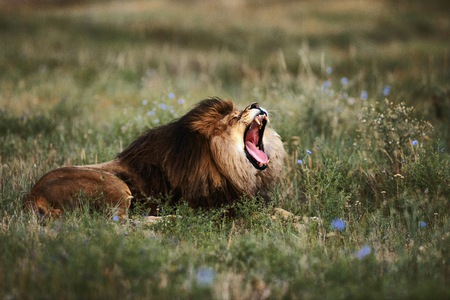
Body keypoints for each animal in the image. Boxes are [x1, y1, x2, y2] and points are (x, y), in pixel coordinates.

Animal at [23, 98, 284, 220]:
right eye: (235, 117)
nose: (256, 104)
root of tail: (32, 195)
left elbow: (280, 209)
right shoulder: (222, 207)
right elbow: (264, 214)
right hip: (115, 186)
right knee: (118, 223)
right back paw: (171, 219)